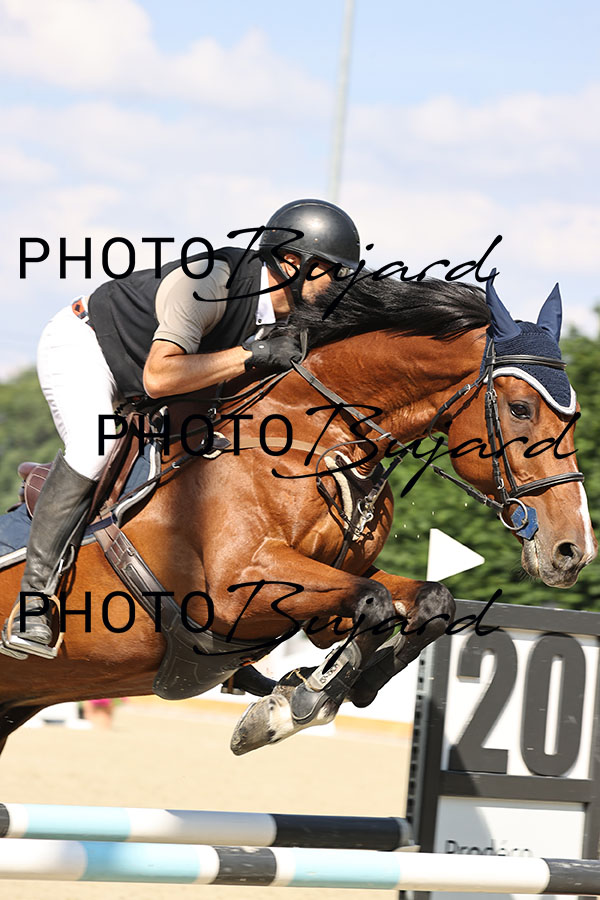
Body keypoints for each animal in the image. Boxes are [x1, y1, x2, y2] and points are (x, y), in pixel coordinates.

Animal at [0, 274, 595, 758]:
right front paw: (294, 704)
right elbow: (375, 603)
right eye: (520, 408)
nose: (572, 551)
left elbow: (427, 601)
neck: (313, 433)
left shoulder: (332, 580)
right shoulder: (231, 590)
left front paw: (331, 690)